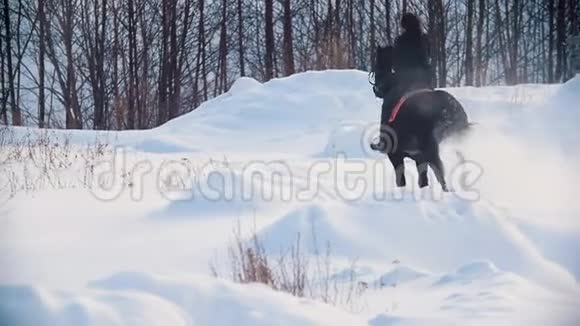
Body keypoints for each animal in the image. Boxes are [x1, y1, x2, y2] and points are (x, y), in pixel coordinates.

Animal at [372, 44, 472, 190]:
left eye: (377, 67)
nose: (376, 90)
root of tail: (449, 111)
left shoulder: (396, 155)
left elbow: (401, 179)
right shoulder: (419, 158)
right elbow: (423, 180)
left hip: (433, 152)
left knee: (442, 175)